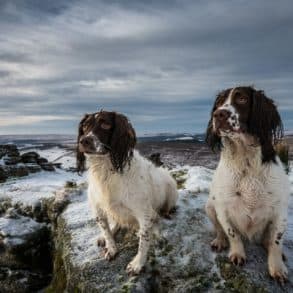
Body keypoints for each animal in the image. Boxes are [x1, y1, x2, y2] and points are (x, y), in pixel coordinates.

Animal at [75, 109, 177, 274]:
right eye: (84, 126)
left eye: (105, 124)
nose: (84, 141)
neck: (107, 171)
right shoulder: (98, 209)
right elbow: (106, 231)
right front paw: (111, 248)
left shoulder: (144, 213)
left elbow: (144, 238)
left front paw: (137, 263)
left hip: (171, 190)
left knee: (159, 216)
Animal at [204, 85, 288, 282]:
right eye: (219, 102)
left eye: (242, 99)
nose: (218, 114)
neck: (246, 160)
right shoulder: (222, 206)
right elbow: (231, 233)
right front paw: (237, 253)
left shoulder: (280, 210)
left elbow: (276, 240)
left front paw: (277, 267)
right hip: (209, 206)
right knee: (219, 229)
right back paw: (220, 241)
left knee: (268, 240)